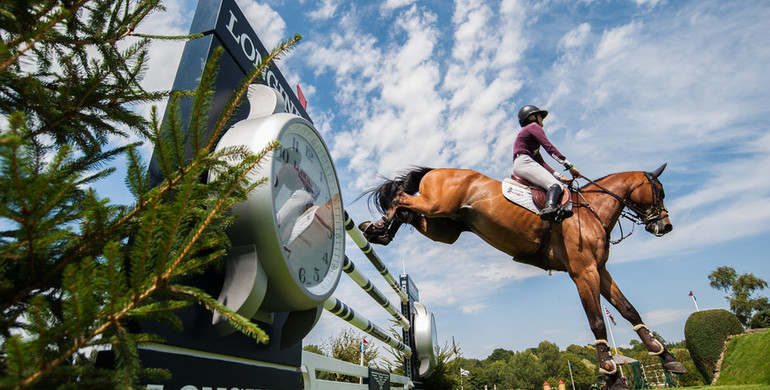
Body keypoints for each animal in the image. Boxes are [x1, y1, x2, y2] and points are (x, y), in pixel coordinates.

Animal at [358, 164, 684, 386]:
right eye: (659, 192)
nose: (665, 226)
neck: (593, 210)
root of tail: (435, 169)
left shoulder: (600, 271)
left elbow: (628, 310)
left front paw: (667, 357)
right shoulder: (584, 272)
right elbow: (596, 321)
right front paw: (610, 371)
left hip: (444, 228)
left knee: (408, 213)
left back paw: (380, 233)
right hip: (436, 205)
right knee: (401, 199)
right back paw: (377, 227)